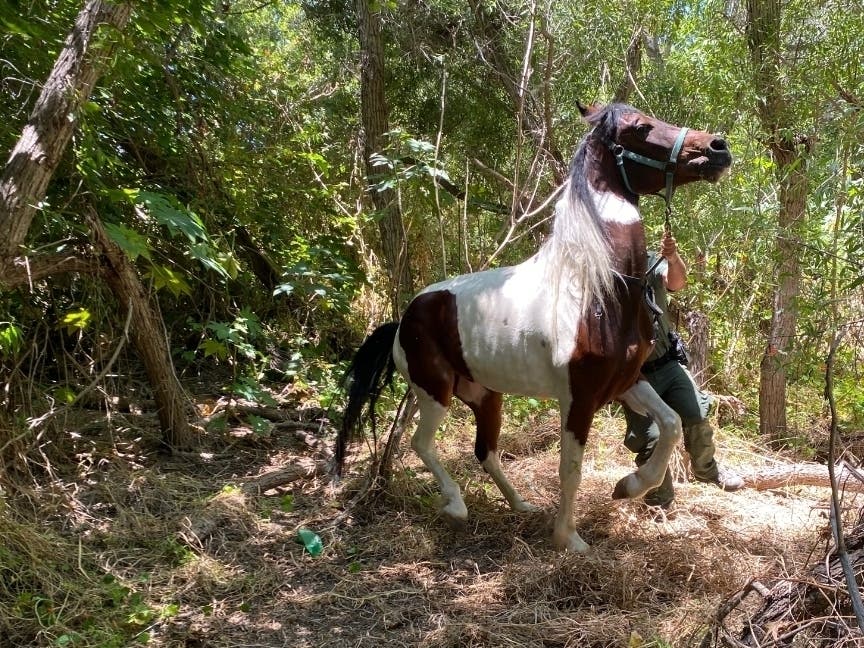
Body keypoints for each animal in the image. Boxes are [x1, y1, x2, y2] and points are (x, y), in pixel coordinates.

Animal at [336, 102, 732, 552]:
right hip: (434, 393)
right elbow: (570, 469)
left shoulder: (626, 383)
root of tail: (404, 318)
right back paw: (456, 506)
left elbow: (670, 425)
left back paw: (520, 505)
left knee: (486, 452)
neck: (598, 289)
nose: (718, 148)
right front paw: (568, 539)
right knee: (423, 444)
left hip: (485, 396)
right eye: (639, 128)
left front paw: (628, 486)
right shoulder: (578, 400)